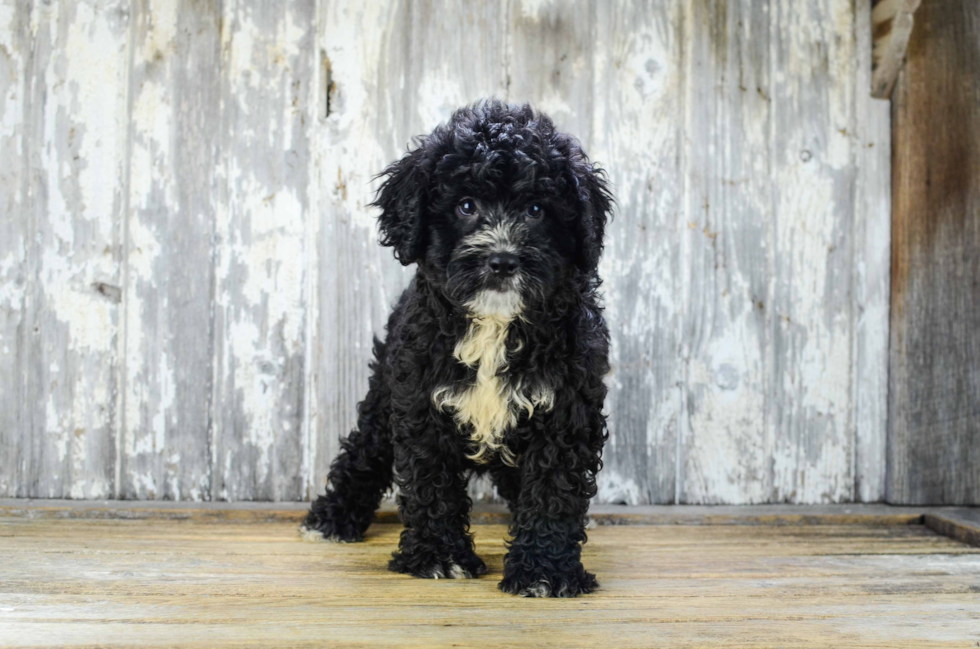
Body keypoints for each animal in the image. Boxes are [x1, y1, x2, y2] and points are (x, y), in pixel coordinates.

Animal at [304, 100, 612, 596]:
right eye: (466, 206)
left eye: (536, 209)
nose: (502, 260)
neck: (494, 325)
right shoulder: (419, 402)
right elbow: (431, 484)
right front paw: (440, 557)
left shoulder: (567, 408)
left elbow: (553, 490)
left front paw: (544, 571)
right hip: (384, 394)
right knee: (365, 450)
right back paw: (332, 517)